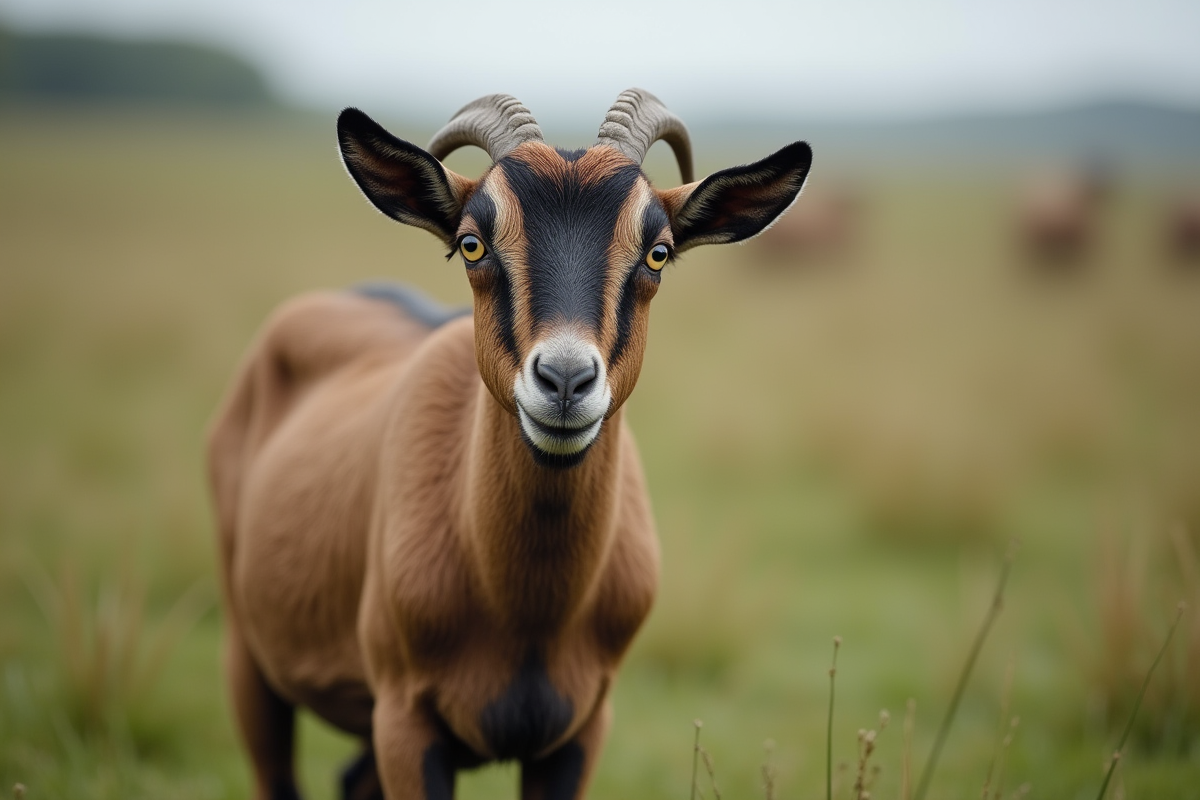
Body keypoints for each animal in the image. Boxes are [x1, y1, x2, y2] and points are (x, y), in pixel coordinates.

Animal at [208, 89, 816, 800]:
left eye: (658, 252)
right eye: (472, 243)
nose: (564, 380)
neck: (528, 614)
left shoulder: (580, 731)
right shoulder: (405, 724)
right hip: (251, 666)